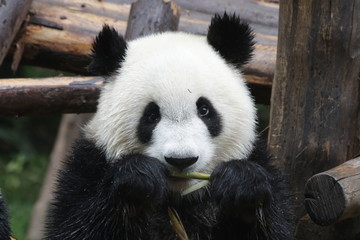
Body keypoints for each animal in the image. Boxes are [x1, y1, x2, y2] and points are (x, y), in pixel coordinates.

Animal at [45, 13, 294, 240]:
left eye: (204, 110)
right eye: (151, 115)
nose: (181, 160)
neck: (182, 197)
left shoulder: (261, 161)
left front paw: (240, 184)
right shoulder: (87, 166)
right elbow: (75, 225)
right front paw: (139, 180)